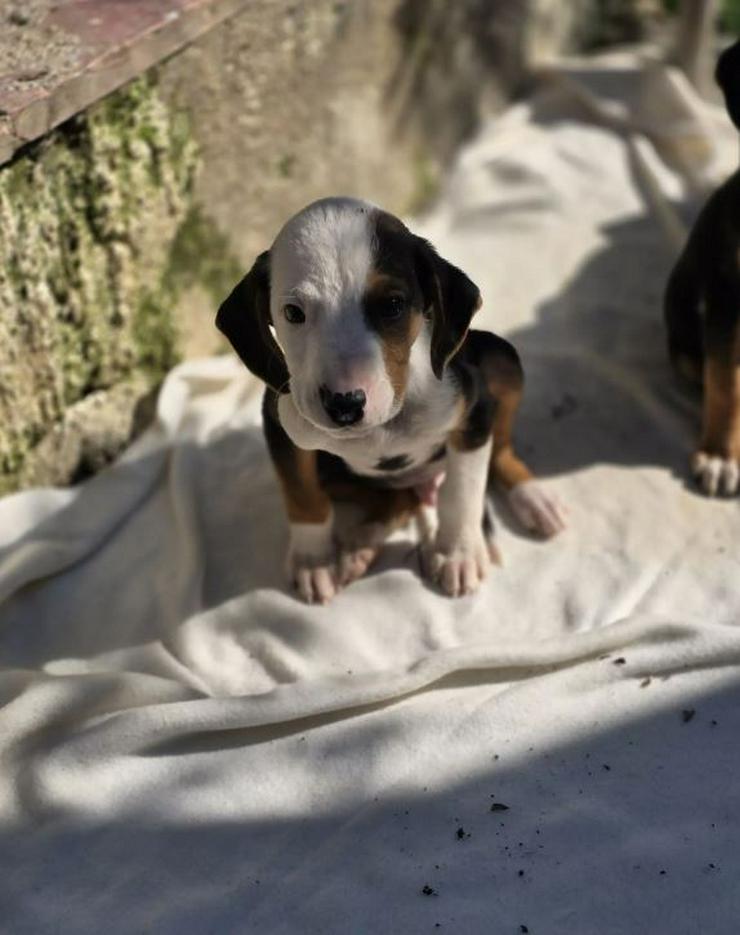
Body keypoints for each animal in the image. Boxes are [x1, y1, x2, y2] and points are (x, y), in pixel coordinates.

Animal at [217, 200, 564, 604]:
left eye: (393, 305)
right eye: (292, 313)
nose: (345, 404)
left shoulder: (474, 413)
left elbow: (463, 490)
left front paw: (458, 553)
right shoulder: (281, 427)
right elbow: (303, 495)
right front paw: (313, 561)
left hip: (501, 357)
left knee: (499, 450)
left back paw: (533, 497)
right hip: (336, 470)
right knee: (399, 501)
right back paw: (360, 546)